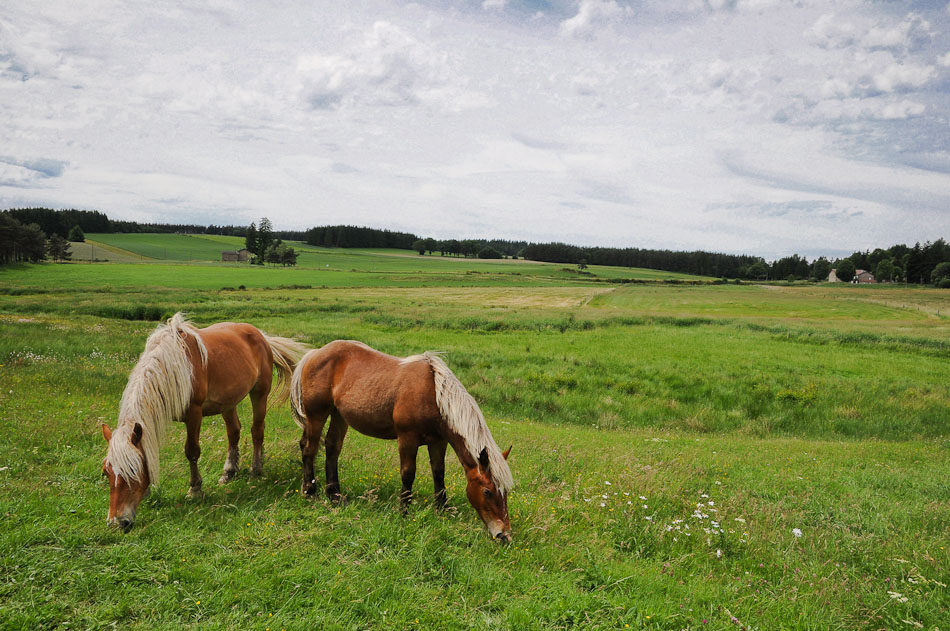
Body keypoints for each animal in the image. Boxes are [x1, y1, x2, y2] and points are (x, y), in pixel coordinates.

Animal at [100, 314, 308, 532]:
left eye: (132, 470)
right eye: (106, 472)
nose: (116, 522)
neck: (173, 365)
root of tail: (261, 336)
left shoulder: (194, 413)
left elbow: (192, 451)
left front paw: (195, 490)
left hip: (259, 393)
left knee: (257, 431)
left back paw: (256, 470)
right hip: (228, 402)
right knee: (234, 432)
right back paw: (229, 472)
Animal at [292, 340, 516, 544]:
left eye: (505, 492)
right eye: (487, 491)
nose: (504, 535)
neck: (433, 394)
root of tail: (315, 353)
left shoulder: (438, 442)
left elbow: (439, 474)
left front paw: (442, 510)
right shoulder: (407, 439)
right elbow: (408, 474)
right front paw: (404, 511)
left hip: (339, 416)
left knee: (332, 448)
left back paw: (335, 495)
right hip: (316, 415)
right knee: (310, 449)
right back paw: (309, 492)